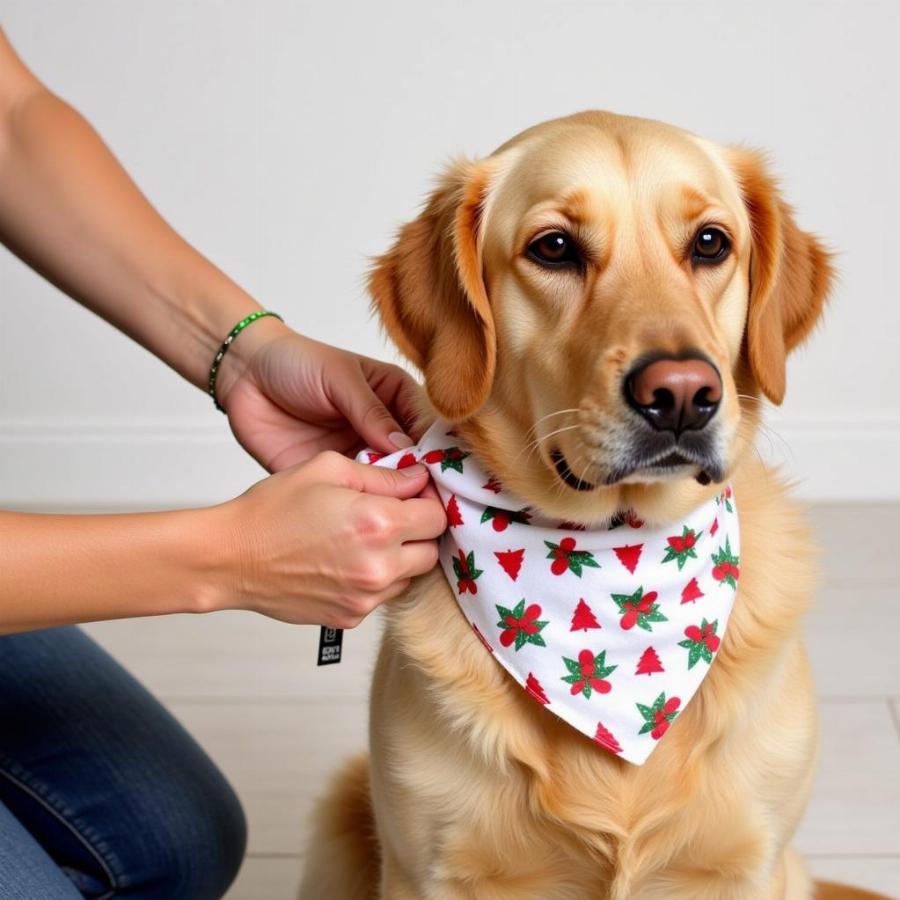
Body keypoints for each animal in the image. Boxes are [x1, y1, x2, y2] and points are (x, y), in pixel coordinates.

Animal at [298, 114, 884, 900]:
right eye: (554, 248)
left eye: (710, 242)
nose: (682, 395)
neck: (615, 561)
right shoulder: (427, 873)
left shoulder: (745, 866)